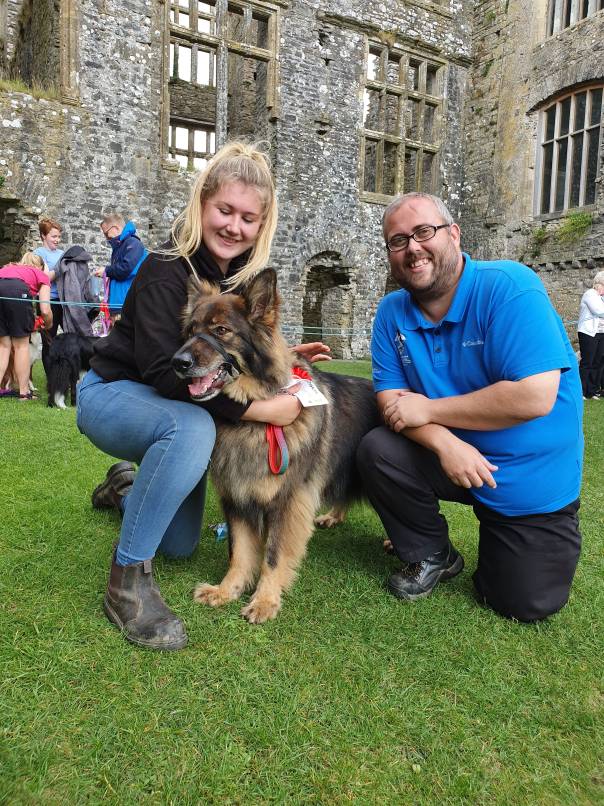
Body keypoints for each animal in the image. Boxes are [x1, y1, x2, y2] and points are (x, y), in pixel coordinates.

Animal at [171, 270, 378, 624]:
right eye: (190, 331)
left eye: (221, 331)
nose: (177, 362)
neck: (254, 421)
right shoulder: (237, 500)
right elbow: (240, 553)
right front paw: (226, 590)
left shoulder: (286, 502)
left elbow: (272, 555)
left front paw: (265, 600)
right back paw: (333, 516)